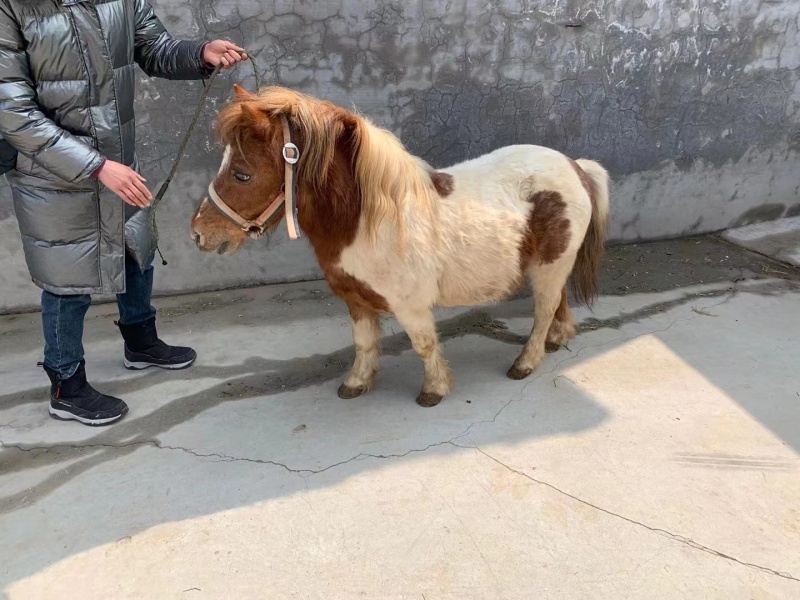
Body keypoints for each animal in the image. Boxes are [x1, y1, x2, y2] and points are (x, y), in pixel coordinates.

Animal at [191, 85, 610, 407]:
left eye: (242, 174)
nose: (198, 234)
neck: (368, 221)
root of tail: (575, 167)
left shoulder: (411, 305)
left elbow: (423, 345)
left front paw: (434, 390)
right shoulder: (356, 301)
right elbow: (363, 343)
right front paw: (356, 383)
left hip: (549, 266)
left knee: (543, 311)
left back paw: (526, 362)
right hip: (552, 264)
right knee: (558, 302)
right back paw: (557, 339)